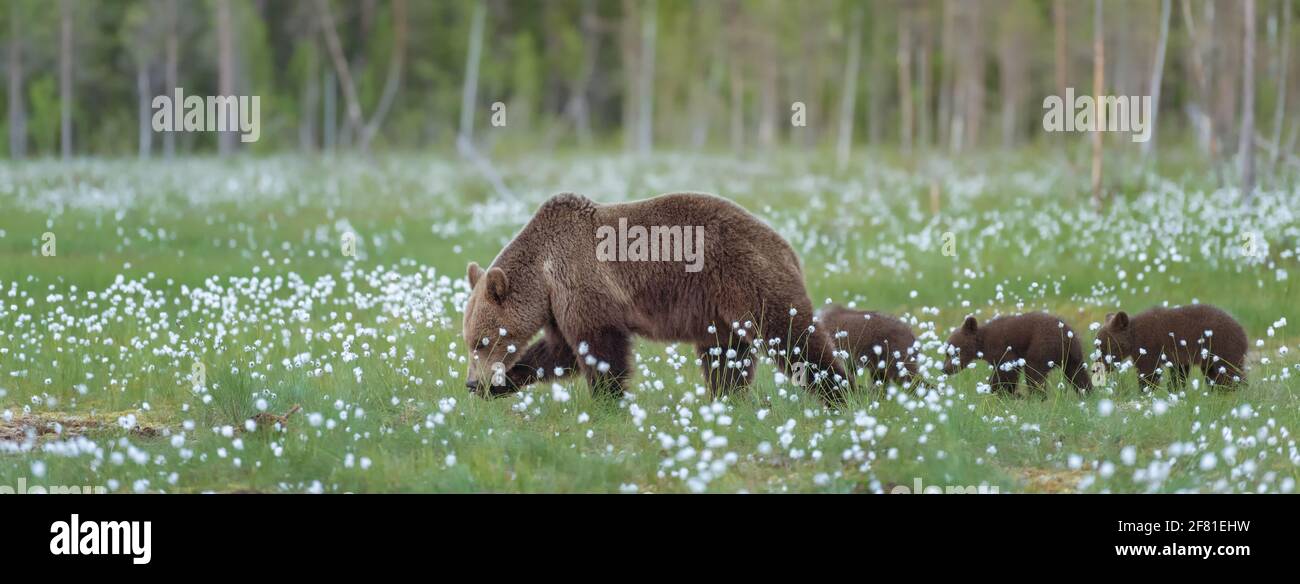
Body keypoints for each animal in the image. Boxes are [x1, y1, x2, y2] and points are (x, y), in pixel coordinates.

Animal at [461, 192, 853, 403]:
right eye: (469, 341)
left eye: (482, 341)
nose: (470, 381)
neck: (544, 272)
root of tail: (787, 247)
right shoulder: (559, 305)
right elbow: (559, 352)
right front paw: (499, 385)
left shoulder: (583, 283)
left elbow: (598, 346)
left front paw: (608, 401)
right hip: (721, 312)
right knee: (726, 357)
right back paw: (726, 400)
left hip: (749, 278)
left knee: (792, 337)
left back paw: (840, 392)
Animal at [941, 312, 1092, 394]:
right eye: (946, 353)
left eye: (952, 352)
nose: (944, 369)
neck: (982, 343)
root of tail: (1066, 335)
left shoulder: (1001, 347)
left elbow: (1007, 371)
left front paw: (1001, 391)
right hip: (1073, 354)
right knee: (1078, 374)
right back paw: (1087, 393)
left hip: (1042, 345)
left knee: (1034, 373)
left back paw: (1036, 397)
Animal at [1095, 304, 1247, 389]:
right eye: (1097, 345)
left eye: (1103, 346)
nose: (1096, 368)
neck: (1133, 337)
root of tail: (1243, 331)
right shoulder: (1178, 358)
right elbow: (1179, 374)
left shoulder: (1149, 345)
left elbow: (1148, 372)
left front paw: (1146, 390)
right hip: (1210, 359)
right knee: (1215, 376)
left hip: (1224, 347)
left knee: (1231, 372)